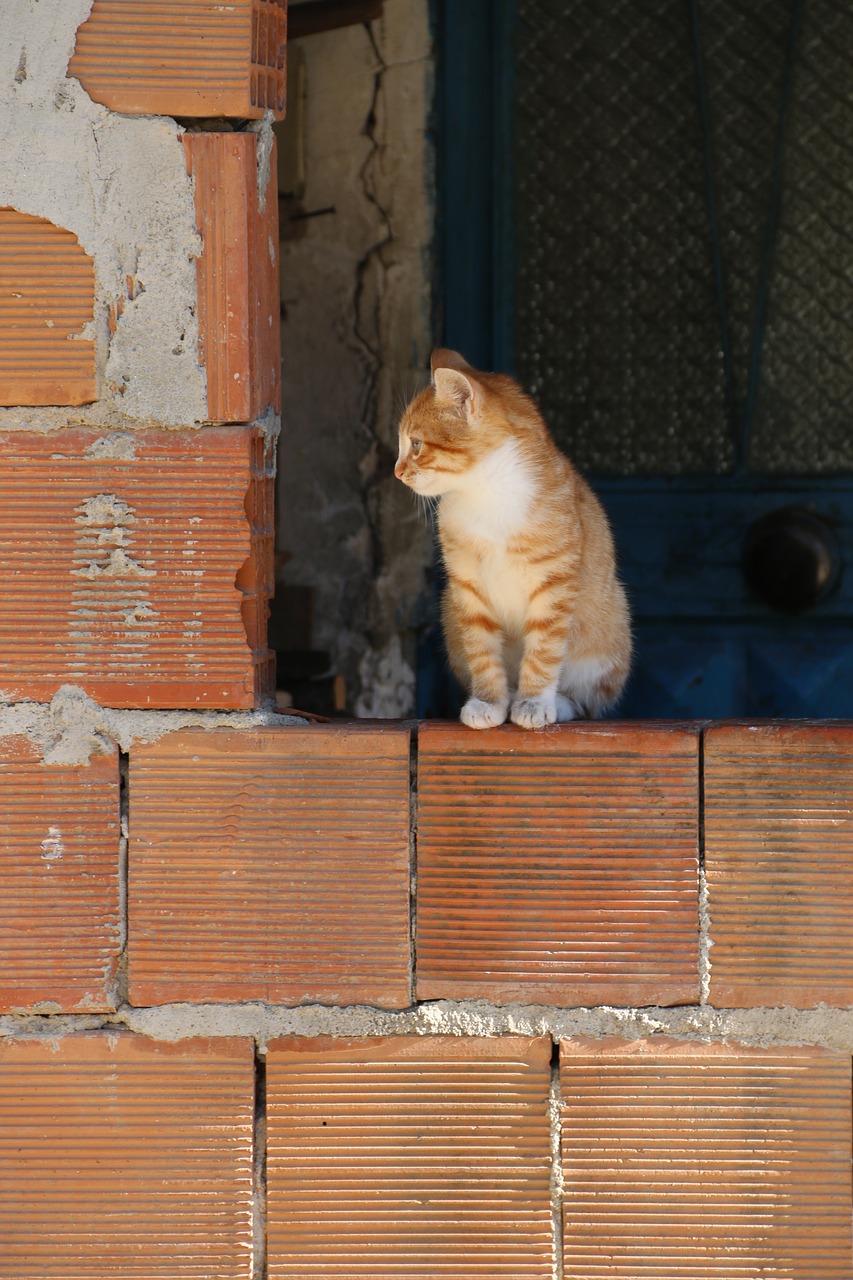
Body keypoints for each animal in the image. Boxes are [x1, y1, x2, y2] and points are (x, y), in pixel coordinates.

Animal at [394, 350, 627, 732]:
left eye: (415, 444)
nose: (397, 471)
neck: (486, 493)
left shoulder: (554, 584)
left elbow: (544, 650)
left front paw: (533, 702)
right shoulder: (467, 586)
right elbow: (482, 649)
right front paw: (488, 701)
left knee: (586, 702)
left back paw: (557, 703)